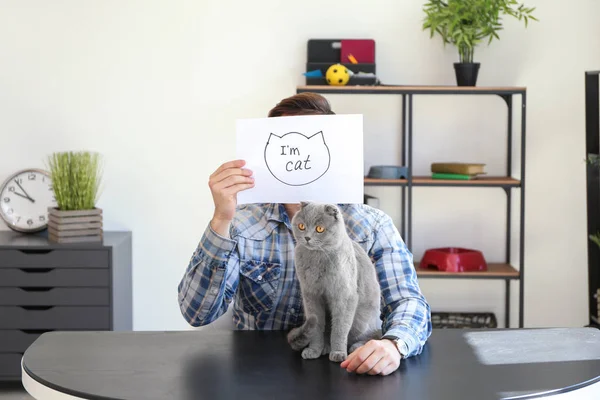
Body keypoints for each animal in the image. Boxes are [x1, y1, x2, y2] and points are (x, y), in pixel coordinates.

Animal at [286, 202, 380, 360]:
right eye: (301, 226)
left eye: (319, 229)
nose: (307, 237)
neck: (317, 258)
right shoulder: (311, 295)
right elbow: (316, 327)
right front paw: (314, 350)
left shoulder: (344, 296)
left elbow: (340, 328)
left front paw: (338, 353)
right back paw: (325, 347)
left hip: (363, 322)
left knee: (376, 335)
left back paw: (356, 347)